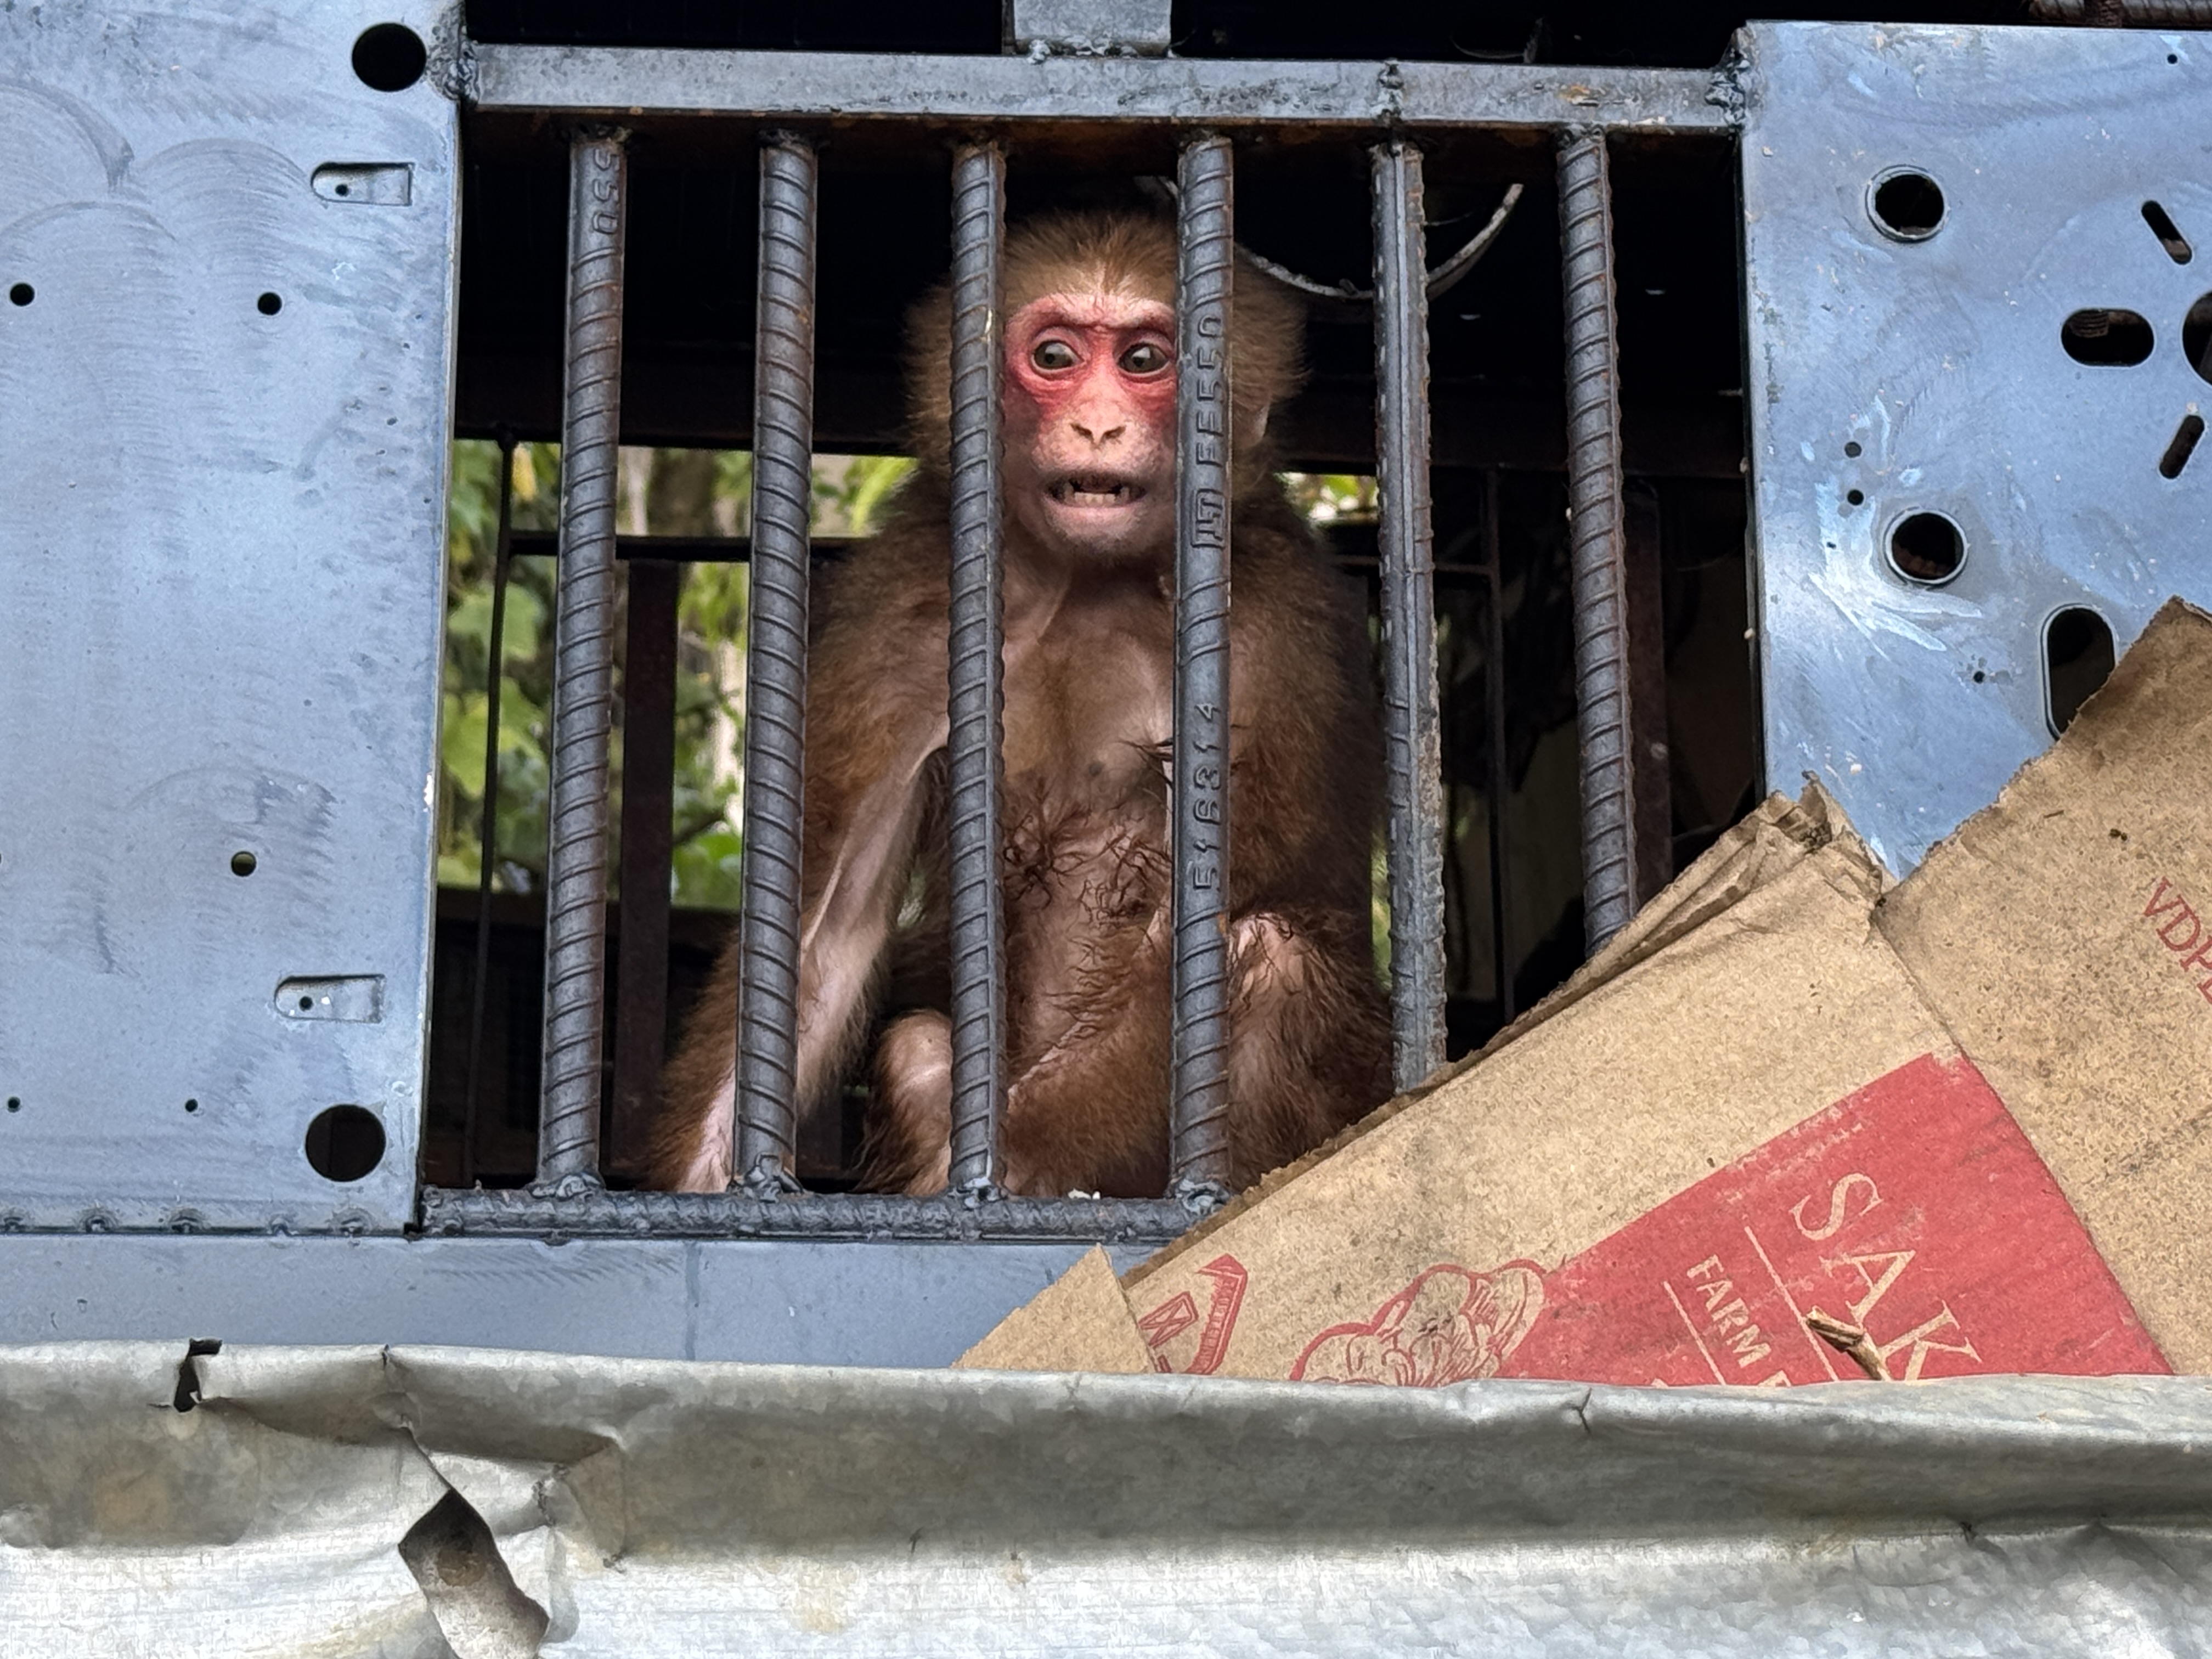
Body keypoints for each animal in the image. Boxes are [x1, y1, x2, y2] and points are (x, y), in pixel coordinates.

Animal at [649, 210, 1390, 1199]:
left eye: (1146, 360)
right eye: (1054, 356)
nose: (1097, 422)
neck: (1086, 585)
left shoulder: (1273, 625)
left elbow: (1208, 927)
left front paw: (1002, 1166)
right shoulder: (907, 610)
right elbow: (820, 932)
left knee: (1273, 956)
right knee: (920, 1049)